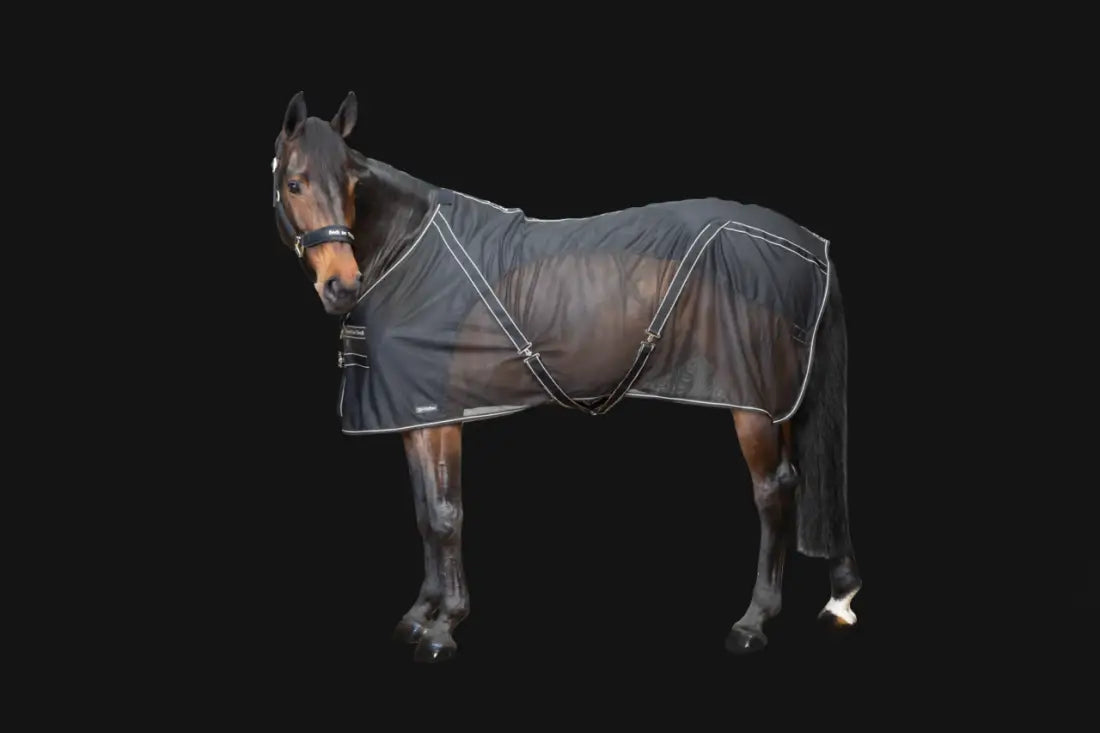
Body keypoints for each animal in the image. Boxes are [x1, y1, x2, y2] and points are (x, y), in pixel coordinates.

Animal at [269, 90, 862, 663]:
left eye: (351, 183)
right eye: (295, 183)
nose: (342, 285)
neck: (409, 251)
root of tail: (809, 245)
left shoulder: (441, 416)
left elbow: (444, 515)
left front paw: (443, 627)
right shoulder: (416, 417)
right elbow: (422, 514)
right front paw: (420, 615)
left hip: (753, 405)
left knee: (773, 490)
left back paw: (753, 621)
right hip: (782, 402)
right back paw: (839, 596)